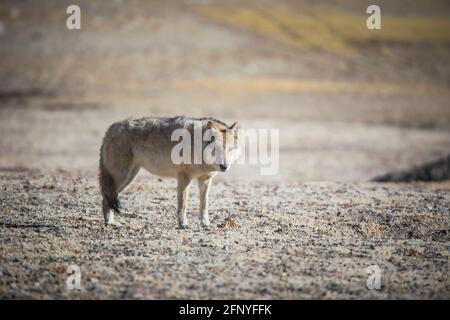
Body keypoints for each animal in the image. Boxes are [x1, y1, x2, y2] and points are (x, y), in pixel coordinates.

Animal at [97, 116, 241, 229]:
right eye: (215, 149)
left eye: (230, 150)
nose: (224, 166)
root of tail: (110, 128)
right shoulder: (184, 177)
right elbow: (183, 204)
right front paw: (183, 224)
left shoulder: (205, 180)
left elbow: (204, 204)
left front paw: (205, 224)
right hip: (122, 177)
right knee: (105, 198)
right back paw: (109, 223)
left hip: (129, 177)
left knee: (106, 198)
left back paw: (111, 222)